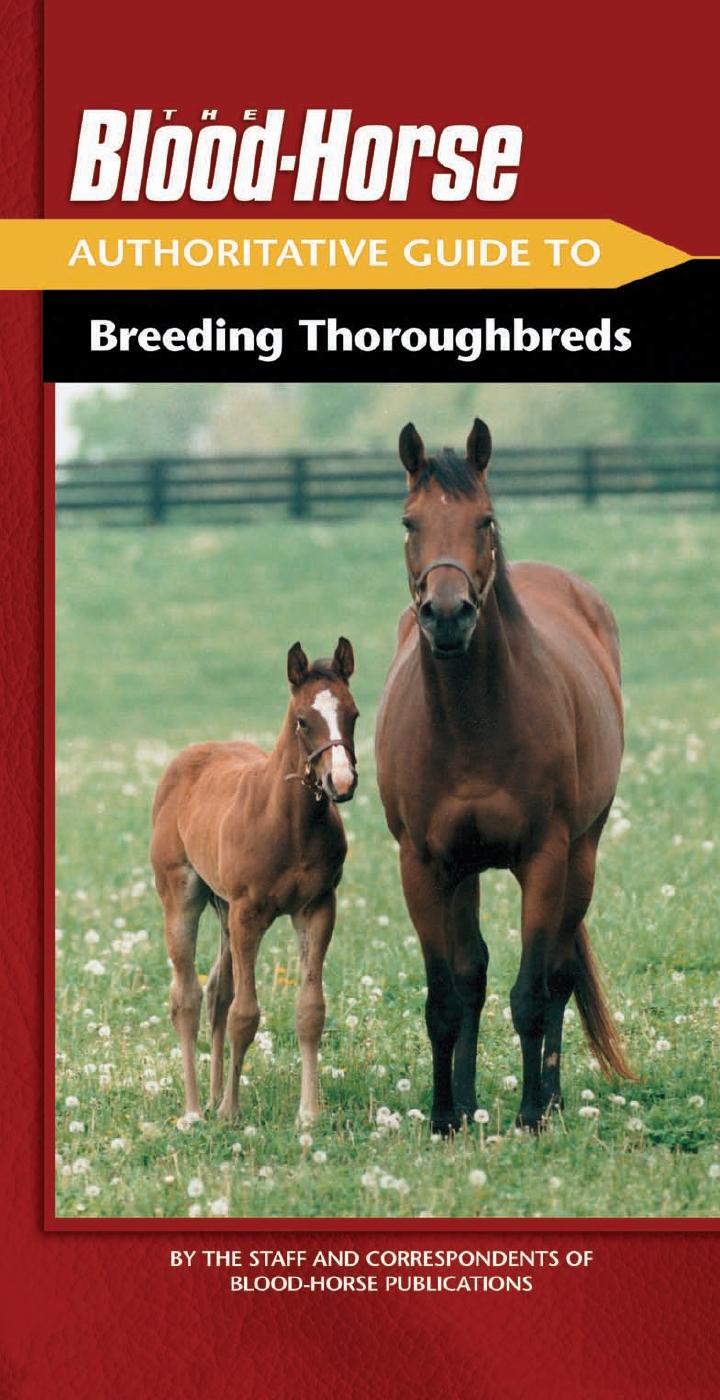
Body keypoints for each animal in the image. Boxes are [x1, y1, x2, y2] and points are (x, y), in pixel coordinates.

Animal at [150, 638, 358, 1124]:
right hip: (182, 896)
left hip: (223, 908)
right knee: (186, 997)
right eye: (302, 720)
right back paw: (195, 1110)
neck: (289, 824)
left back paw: (210, 1098)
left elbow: (310, 1010)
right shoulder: (249, 913)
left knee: (216, 993)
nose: (341, 781)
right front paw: (231, 1111)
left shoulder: (318, 908)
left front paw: (308, 1113)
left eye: (354, 715)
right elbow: (245, 1014)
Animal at [375, 419, 634, 1134]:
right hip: (463, 873)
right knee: (473, 976)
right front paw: (445, 1117)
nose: (448, 614)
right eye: (409, 522)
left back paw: (551, 1096)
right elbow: (447, 996)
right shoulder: (424, 866)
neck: (472, 727)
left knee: (560, 976)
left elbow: (531, 993)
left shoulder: (544, 857)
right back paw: (467, 1104)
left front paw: (529, 1116)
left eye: (484, 519)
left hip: (583, 854)